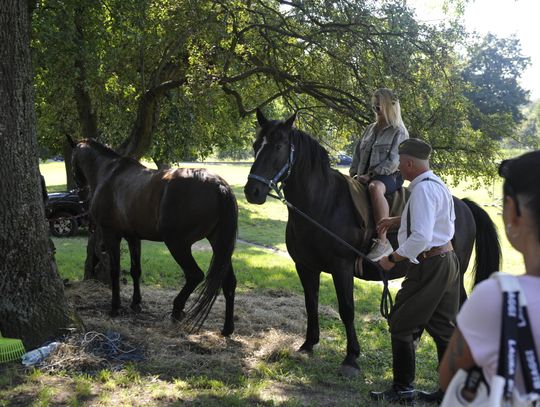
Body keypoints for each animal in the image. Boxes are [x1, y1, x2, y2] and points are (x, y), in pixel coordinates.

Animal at [68, 139, 237, 336]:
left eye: (73, 161)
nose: (80, 194)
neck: (109, 173)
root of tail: (219, 186)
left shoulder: (112, 235)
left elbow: (115, 271)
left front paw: (115, 307)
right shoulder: (133, 238)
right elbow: (135, 271)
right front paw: (136, 303)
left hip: (178, 244)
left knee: (194, 275)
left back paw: (177, 309)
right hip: (220, 245)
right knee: (228, 283)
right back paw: (227, 328)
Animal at [243, 111, 500, 376]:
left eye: (279, 146)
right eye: (255, 145)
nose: (253, 191)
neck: (323, 203)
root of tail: (462, 205)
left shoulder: (342, 268)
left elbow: (347, 309)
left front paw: (351, 357)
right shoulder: (305, 267)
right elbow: (311, 303)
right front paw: (308, 344)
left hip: (455, 274)